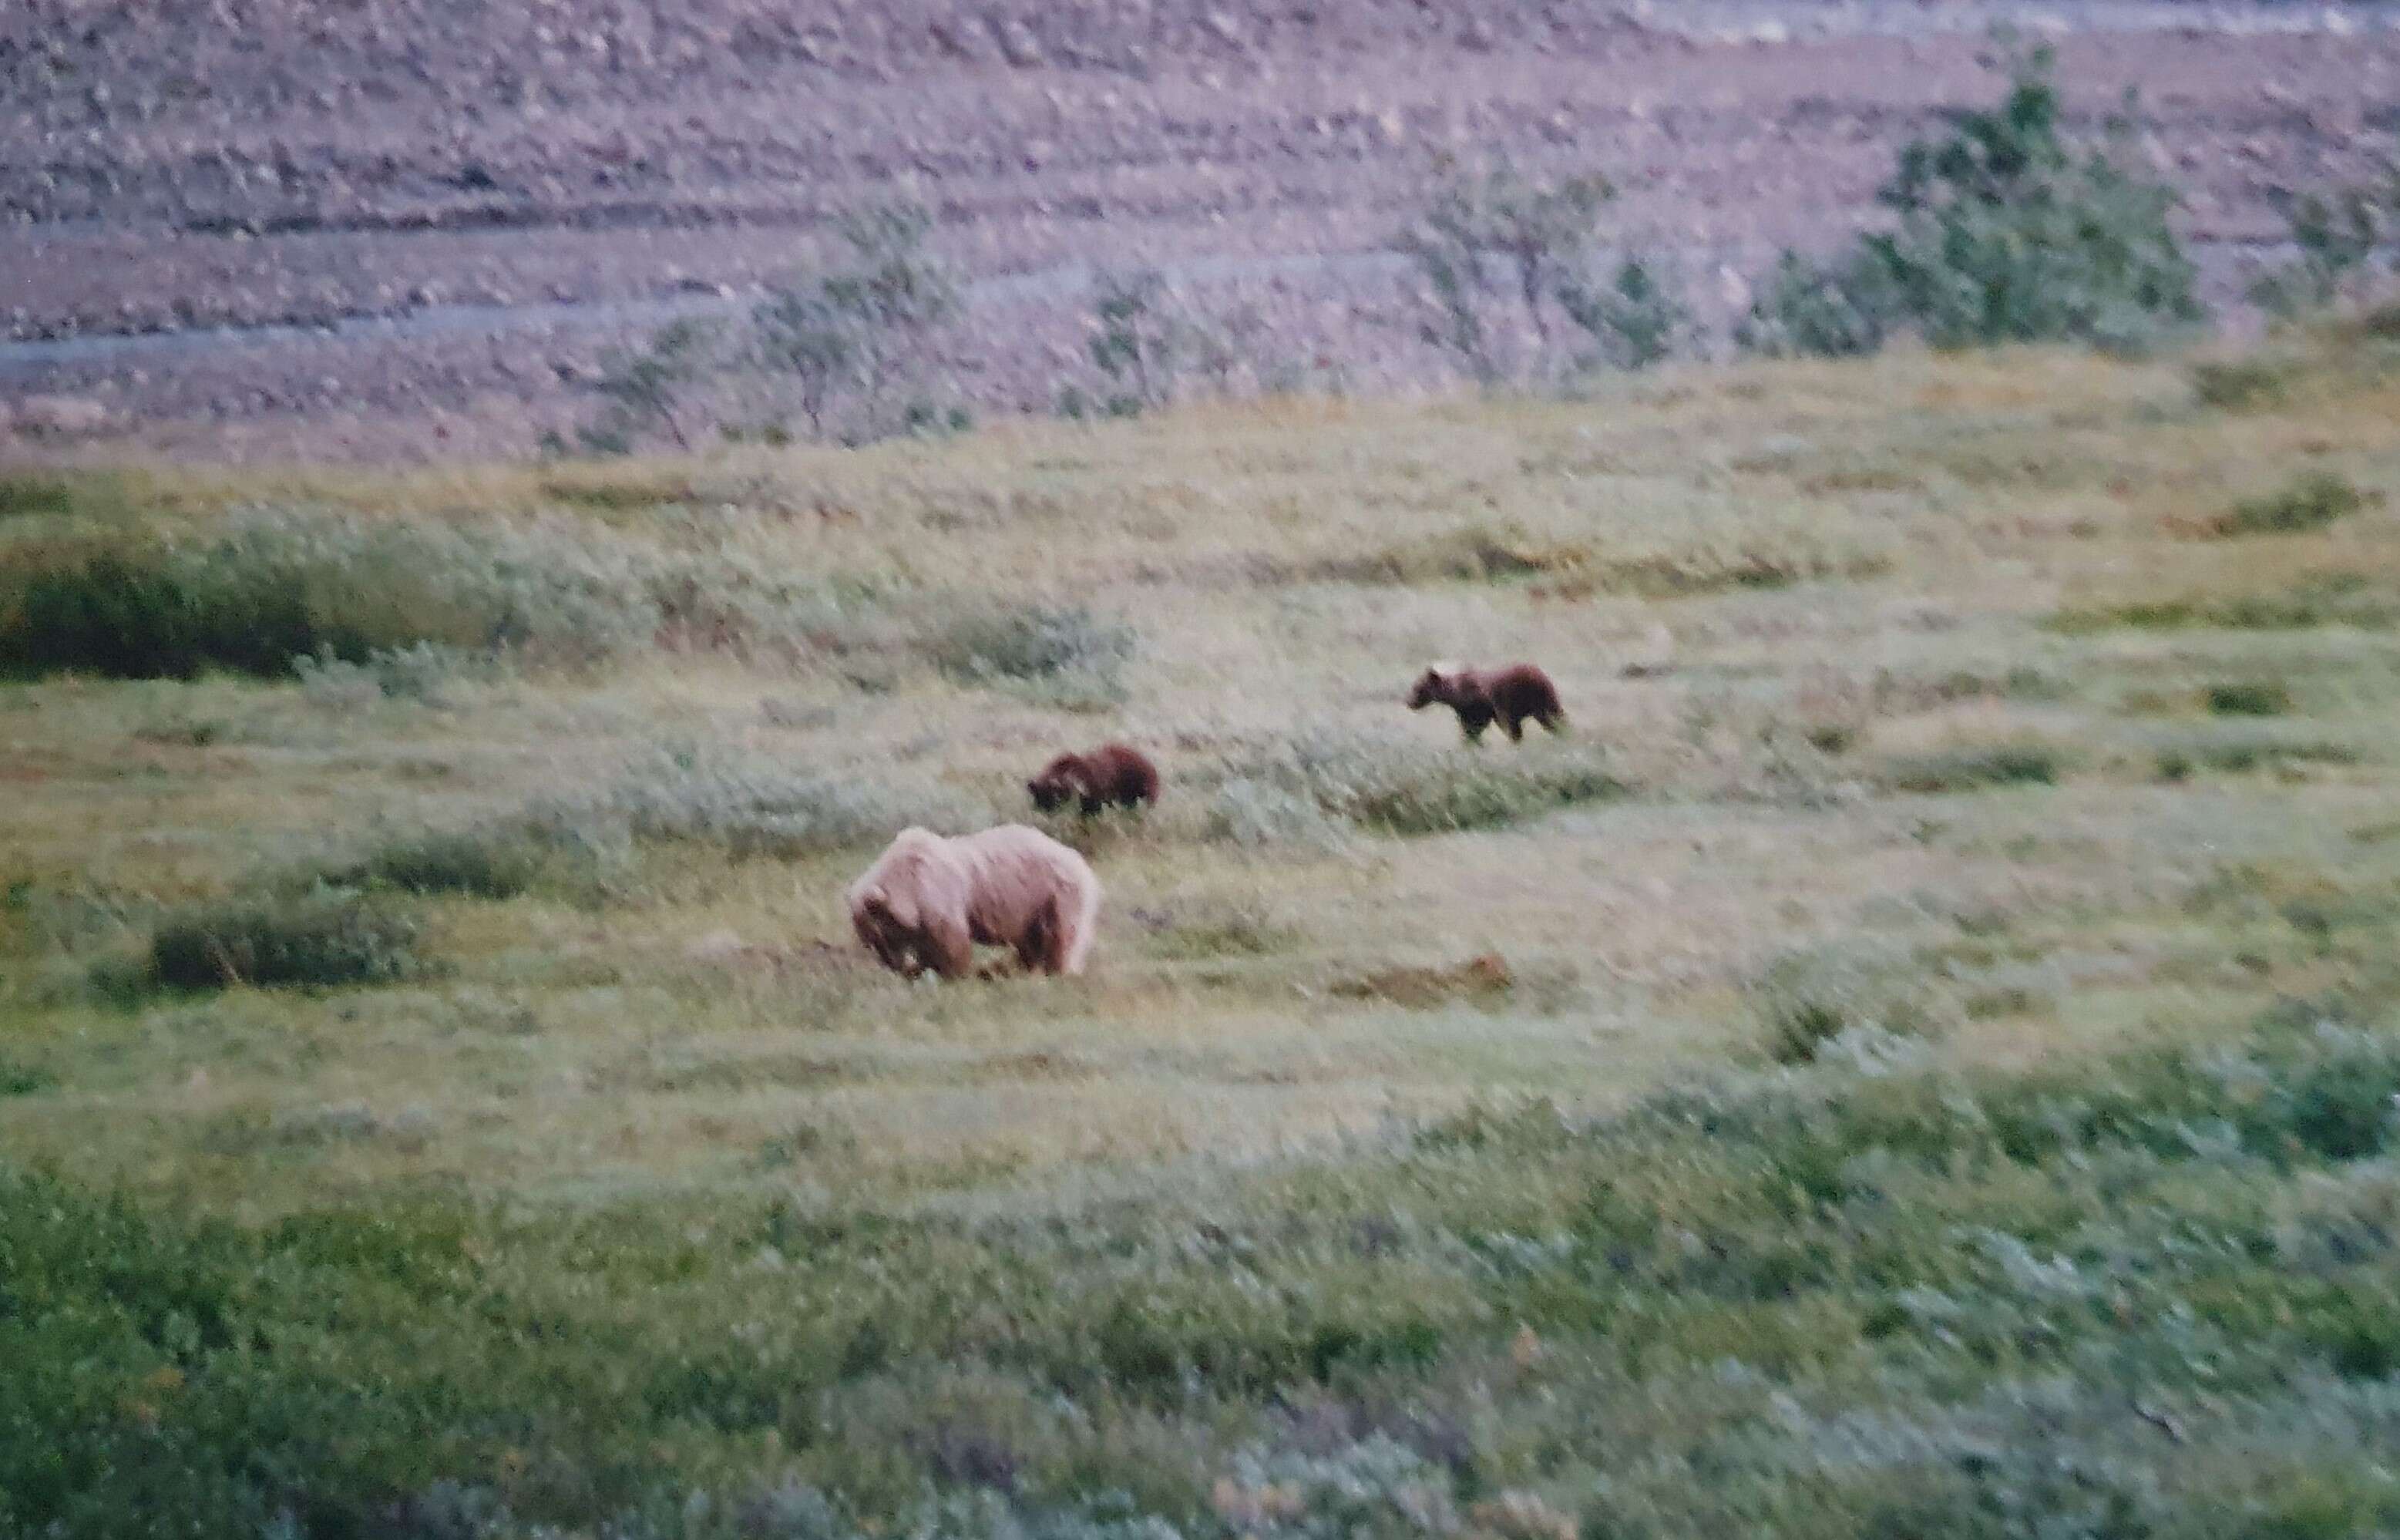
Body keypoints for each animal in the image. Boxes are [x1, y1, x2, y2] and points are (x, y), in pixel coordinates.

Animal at [849, 820, 1099, 978]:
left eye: (881, 937)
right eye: (869, 941)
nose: (892, 965)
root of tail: (1077, 858)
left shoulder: (938, 893)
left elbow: (950, 939)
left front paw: (951, 973)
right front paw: (922, 969)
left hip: (1053, 894)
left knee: (1059, 935)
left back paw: (1057, 970)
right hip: (1031, 908)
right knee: (1032, 939)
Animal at [1401, 657, 1574, 738]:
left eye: (1417, 687)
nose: (1409, 702)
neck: (1457, 695)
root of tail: (1537, 673)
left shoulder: (1482, 705)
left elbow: (1478, 725)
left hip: (1524, 694)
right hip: (1542, 696)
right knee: (1554, 716)